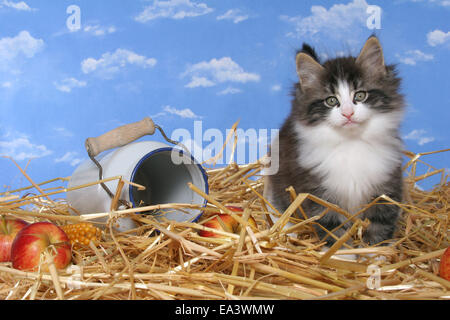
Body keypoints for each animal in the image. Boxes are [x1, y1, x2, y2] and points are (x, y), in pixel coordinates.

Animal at [264, 35, 404, 245]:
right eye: (331, 100)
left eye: (360, 95)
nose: (348, 113)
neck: (351, 143)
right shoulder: (319, 193)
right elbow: (332, 229)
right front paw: (343, 252)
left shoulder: (386, 186)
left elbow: (380, 225)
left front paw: (375, 251)